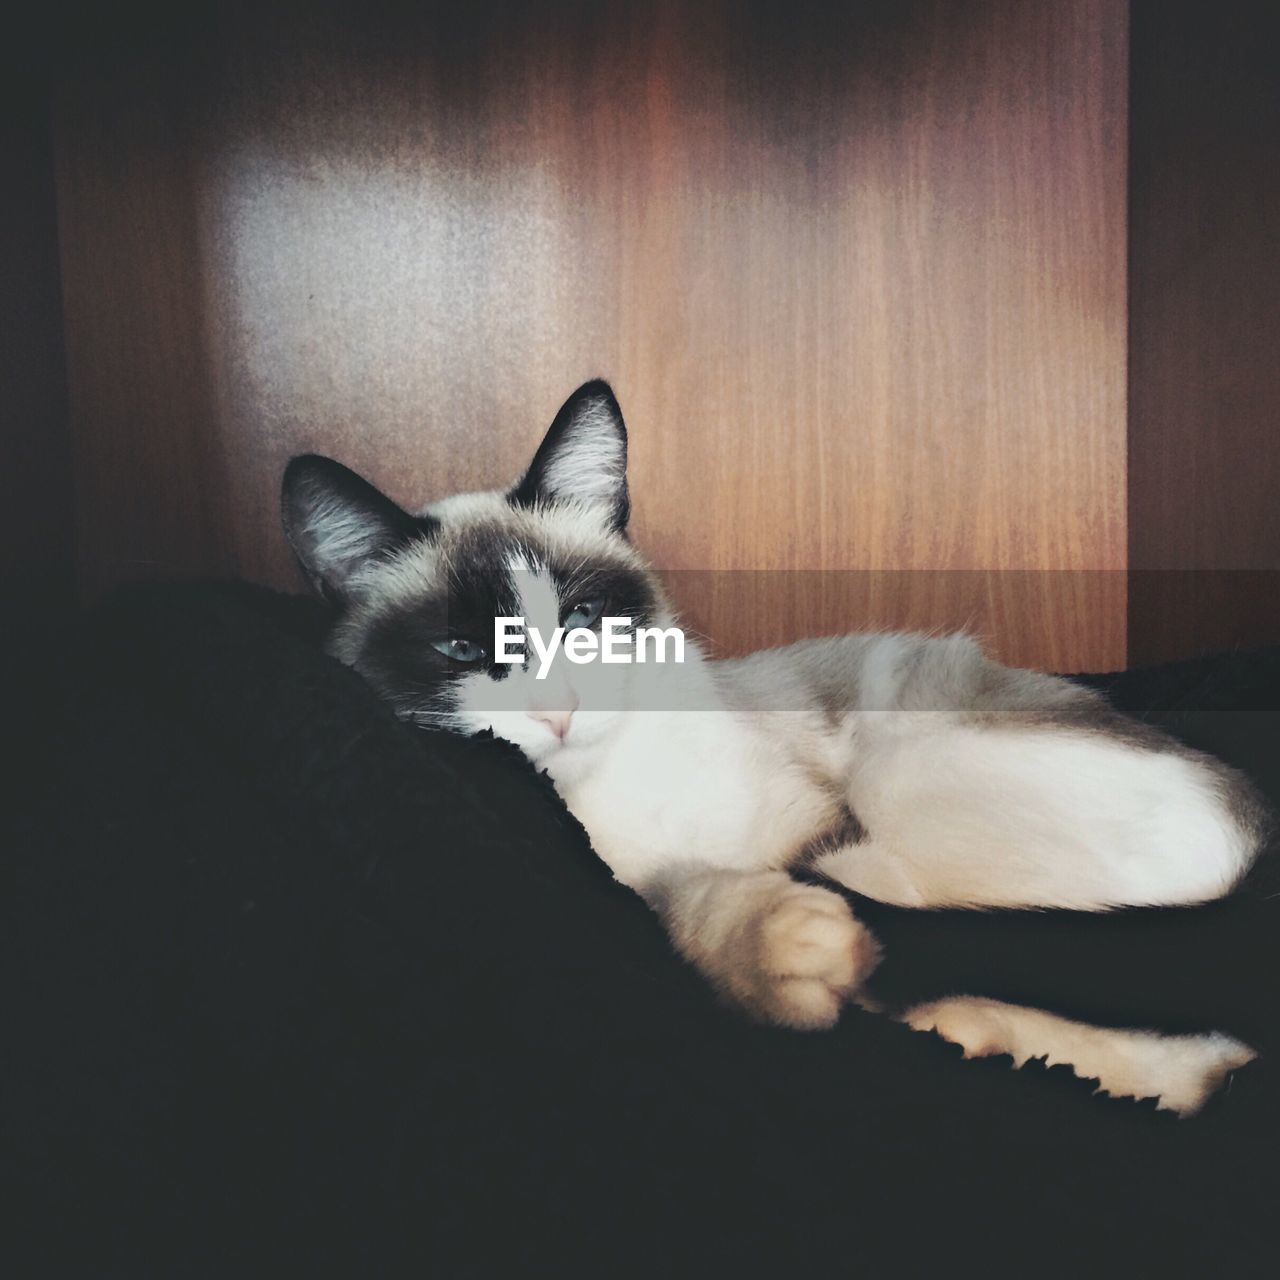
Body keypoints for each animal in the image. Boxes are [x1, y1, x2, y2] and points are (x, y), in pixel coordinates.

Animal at [280, 376, 1269, 1111]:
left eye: (585, 619)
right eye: (460, 653)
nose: (557, 710)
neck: (600, 800)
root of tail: (1256, 824)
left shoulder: (814, 828)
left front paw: (820, 956)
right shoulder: (629, 881)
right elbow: (683, 906)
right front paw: (795, 950)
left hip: (905, 771)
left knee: (1187, 1037)